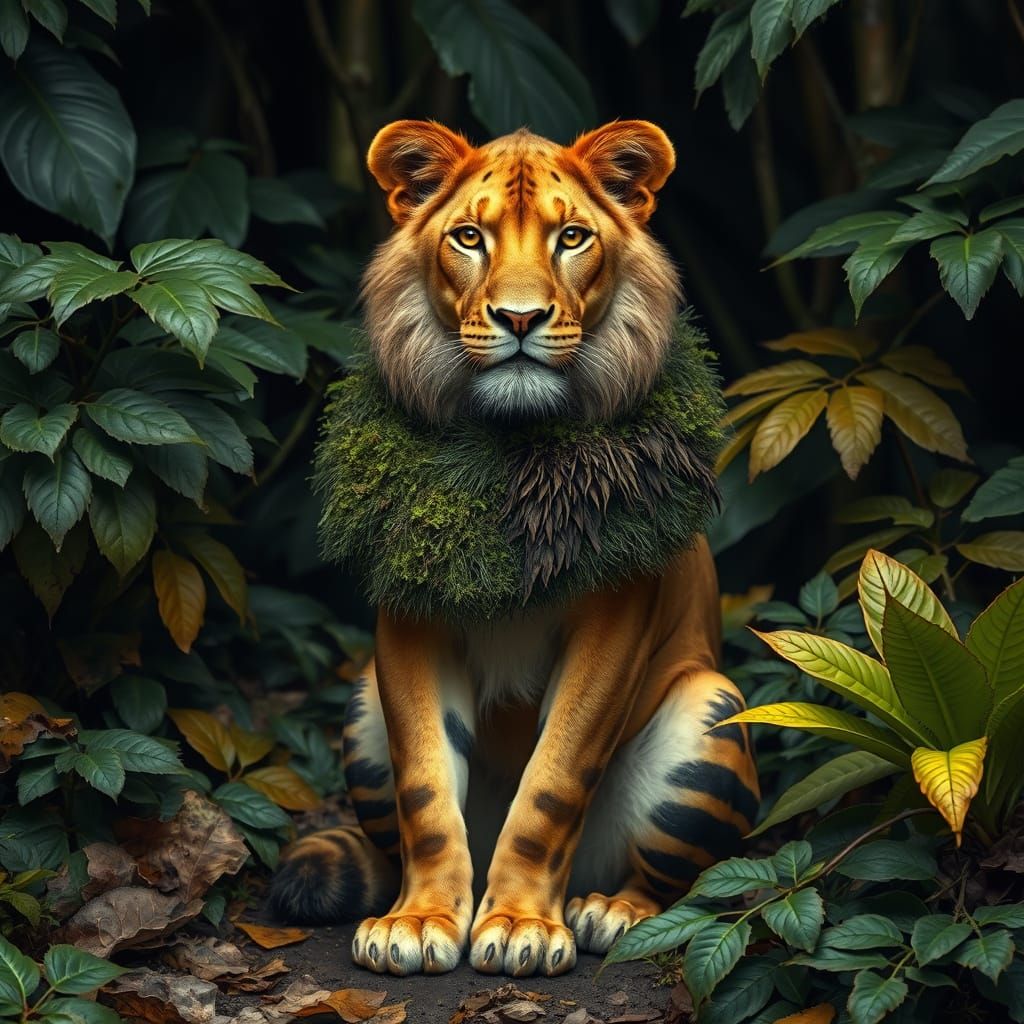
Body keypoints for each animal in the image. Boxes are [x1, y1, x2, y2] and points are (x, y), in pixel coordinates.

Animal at [269, 119, 759, 979]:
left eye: (572, 237)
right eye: (471, 237)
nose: (521, 320)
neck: (511, 459)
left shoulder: (614, 624)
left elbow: (553, 782)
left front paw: (524, 925)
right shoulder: (411, 617)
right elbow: (427, 787)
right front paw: (420, 923)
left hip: (713, 711)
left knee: (675, 884)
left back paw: (612, 913)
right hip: (360, 703)